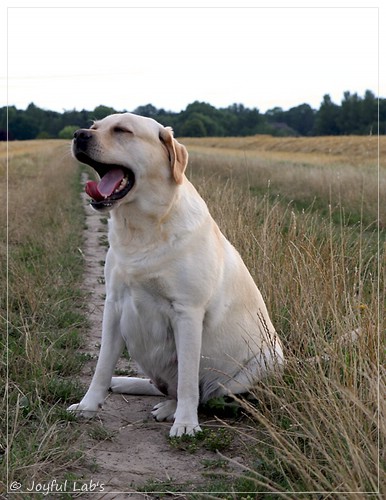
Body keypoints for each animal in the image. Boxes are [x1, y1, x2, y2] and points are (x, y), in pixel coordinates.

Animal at [67, 111, 284, 436]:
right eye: (94, 127)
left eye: (122, 130)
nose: (79, 135)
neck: (142, 230)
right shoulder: (114, 305)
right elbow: (102, 366)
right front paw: (88, 405)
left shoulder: (187, 313)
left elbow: (188, 381)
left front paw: (185, 423)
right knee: (163, 386)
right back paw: (126, 383)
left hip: (258, 364)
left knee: (208, 395)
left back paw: (171, 409)